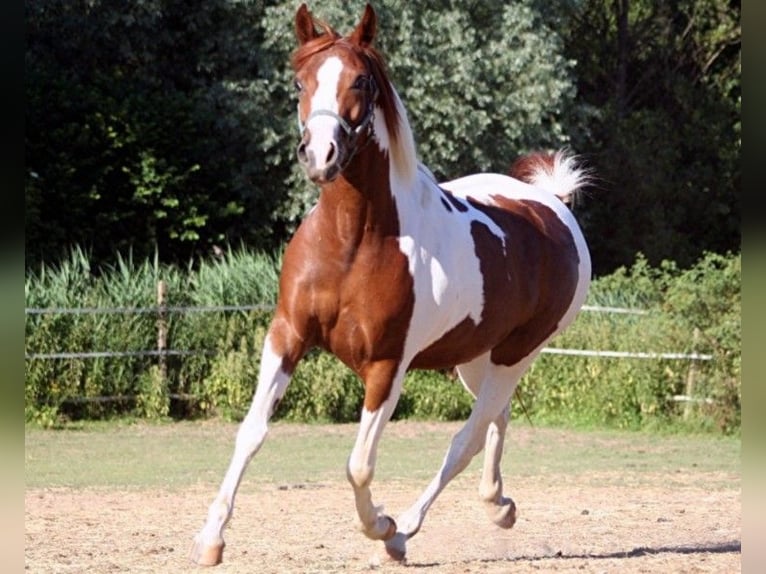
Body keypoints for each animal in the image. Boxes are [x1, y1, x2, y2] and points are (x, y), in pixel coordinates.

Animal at [192, 2, 592, 568]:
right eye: (299, 82)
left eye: (361, 81)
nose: (321, 154)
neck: (352, 242)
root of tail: (552, 207)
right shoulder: (287, 335)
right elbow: (251, 432)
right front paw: (211, 539)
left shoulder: (387, 366)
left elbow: (359, 464)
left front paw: (380, 524)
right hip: (476, 359)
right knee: (497, 420)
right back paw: (498, 506)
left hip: (517, 355)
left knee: (465, 439)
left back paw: (405, 531)